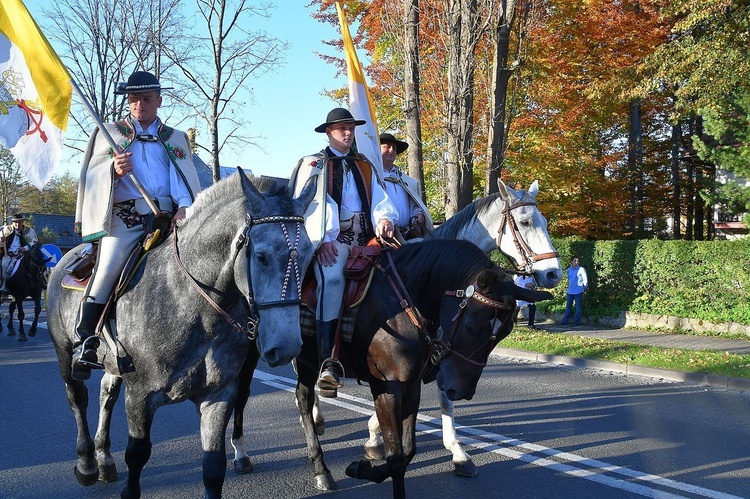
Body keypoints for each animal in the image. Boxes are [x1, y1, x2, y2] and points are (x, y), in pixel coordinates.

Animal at [46, 173, 318, 499]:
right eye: (262, 257)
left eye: (309, 256)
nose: (287, 346)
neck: (192, 306)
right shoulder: (140, 397)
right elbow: (137, 454)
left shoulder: (218, 396)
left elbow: (213, 467)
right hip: (64, 353)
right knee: (77, 398)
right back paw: (87, 463)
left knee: (105, 395)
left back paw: (104, 458)